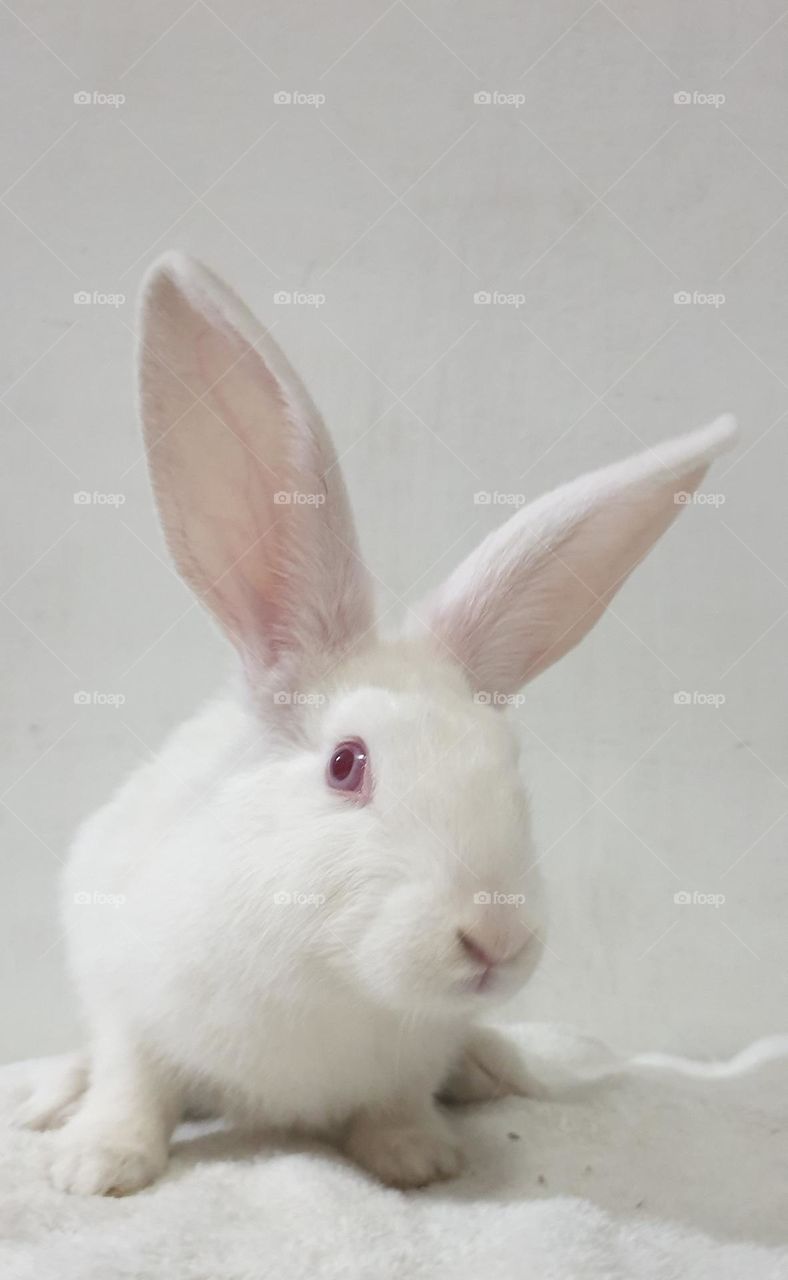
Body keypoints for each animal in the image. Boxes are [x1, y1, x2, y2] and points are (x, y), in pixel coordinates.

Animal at [18, 254, 736, 1196]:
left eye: (511, 765)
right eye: (346, 765)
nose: (497, 938)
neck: (337, 973)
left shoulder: (410, 1054)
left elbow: (398, 1100)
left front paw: (416, 1158)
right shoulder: (128, 1000)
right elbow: (132, 1080)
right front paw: (96, 1166)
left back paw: (490, 1069)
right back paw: (46, 1101)